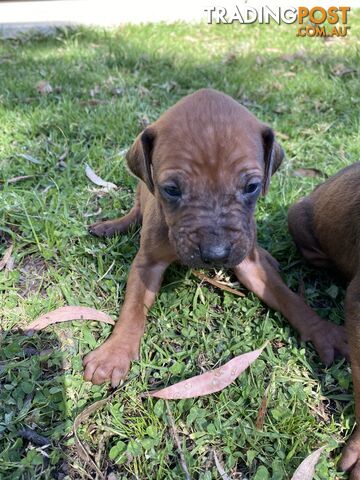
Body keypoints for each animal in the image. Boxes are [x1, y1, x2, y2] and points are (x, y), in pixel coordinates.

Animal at [83, 89, 348, 390]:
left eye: (252, 187)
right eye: (171, 190)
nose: (216, 254)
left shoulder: (249, 263)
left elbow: (288, 297)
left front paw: (322, 330)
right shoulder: (146, 263)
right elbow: (134, 307)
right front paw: (114, 353)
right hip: (141, 190)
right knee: (136, 209)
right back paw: (112, 226)